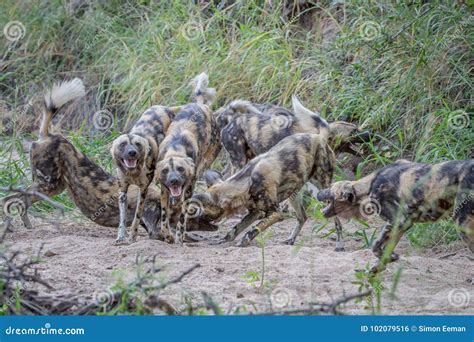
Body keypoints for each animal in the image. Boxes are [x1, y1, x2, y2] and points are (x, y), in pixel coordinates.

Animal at [111, 104, 183, 243]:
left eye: (137, 144)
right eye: (123, 144)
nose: (132, 152)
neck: (133, 173)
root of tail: (165, 107)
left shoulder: (143, 191)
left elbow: (136, 217)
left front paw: (132, 237)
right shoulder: (123, 192)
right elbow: (122, 219)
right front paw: (120, 236)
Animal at [156, 72, 221, 243]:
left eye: (180, 169)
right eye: (165, 171)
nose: (174, 181)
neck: (175, 149)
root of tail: (200, 105)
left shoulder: (188, 189)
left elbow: (182, 218)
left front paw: (179, 238)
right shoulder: (164, 191)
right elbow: (164, 217)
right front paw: (167, 235)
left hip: (205, 163)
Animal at [191, 132, 336, 247]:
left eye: (204, 213)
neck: (247, 181)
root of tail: (318, 136)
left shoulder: (275, 213)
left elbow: (253, 230)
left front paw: (243, 242)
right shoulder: (255, 212)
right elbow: (236, 228)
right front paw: (224, 240)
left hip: (322, 186)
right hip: (293, 192)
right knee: (302, 217)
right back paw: (290, 239)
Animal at [316, 159, 474, 274]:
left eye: (330, 189)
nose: (318, 192)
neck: (368, 186)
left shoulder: (398, 221)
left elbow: (375, 246)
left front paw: (391, 259)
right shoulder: (402, 225)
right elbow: (384, 251)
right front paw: (377, 269)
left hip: (462, 224)